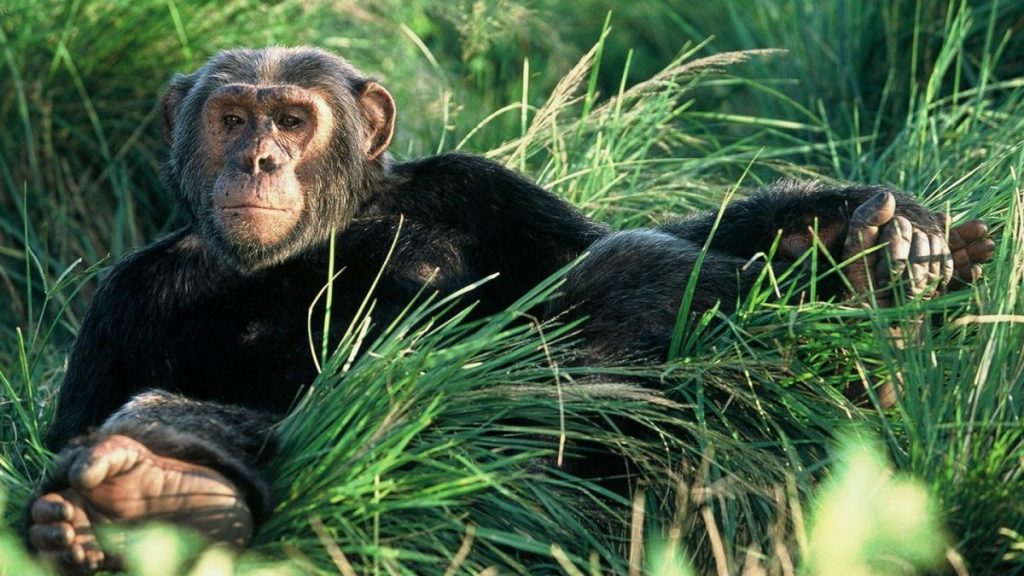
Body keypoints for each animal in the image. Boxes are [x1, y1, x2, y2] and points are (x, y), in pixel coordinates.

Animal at [24, 47, 994, 574]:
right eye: (230, 118)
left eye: (292, 120)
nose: (258, 158)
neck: (323, 233)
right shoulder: (122, 303)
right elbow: (71, 428)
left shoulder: (480, 187)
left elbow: (598, 238)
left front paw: (877, 225)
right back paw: (160, 497)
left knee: (629, 268)